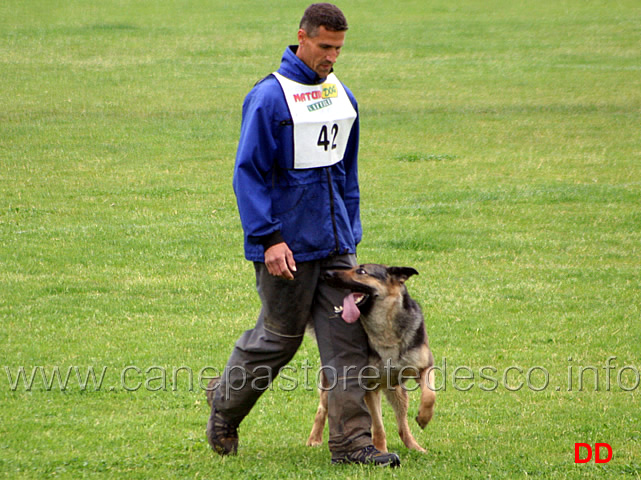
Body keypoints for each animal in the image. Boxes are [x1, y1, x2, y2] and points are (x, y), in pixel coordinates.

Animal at [304, 264, 436, 452]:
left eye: (361, 271)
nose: (326, 274)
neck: (386, 333)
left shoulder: (425, 367)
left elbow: (430, 395)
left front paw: (424, 418)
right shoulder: (369, 387)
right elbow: (378, 426)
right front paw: (380, 450)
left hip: (398, 392)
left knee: (402, 424)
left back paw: (415, 447)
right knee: (323, 408)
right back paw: (315, 439)